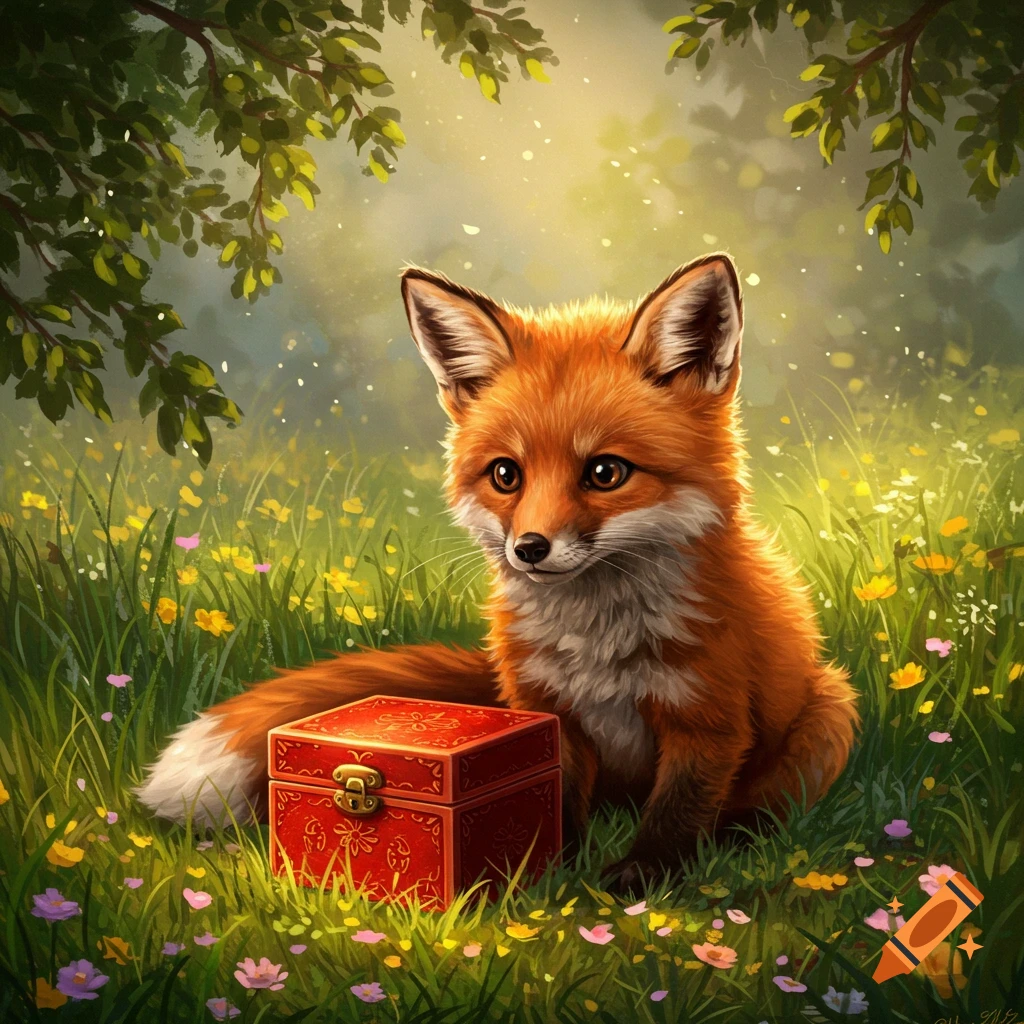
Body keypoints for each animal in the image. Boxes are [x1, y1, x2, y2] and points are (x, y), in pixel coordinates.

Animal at [137, 251, 859, 893]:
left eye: (606, 472)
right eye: (506, 474)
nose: (530, 549)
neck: (599, 646)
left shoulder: (707, 719)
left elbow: (677, 813)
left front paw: (641, 875)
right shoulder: (548, 712)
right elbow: (558, 799)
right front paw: (545, 863)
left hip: (830, 711)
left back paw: (743, 833)